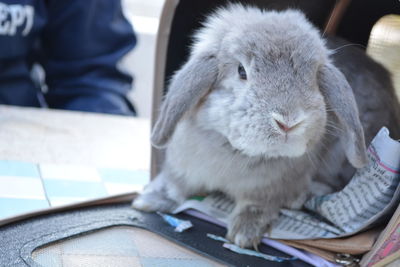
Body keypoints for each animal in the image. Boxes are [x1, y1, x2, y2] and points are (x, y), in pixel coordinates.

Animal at [134, 4, 400, 248]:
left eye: (313, 78)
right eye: (241, 71)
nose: (288, 122)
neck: (234, 152)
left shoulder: (267, 190)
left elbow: (257, 206)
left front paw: (244, 234)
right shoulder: (183, 169)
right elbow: (174, 187)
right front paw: (147, 201)